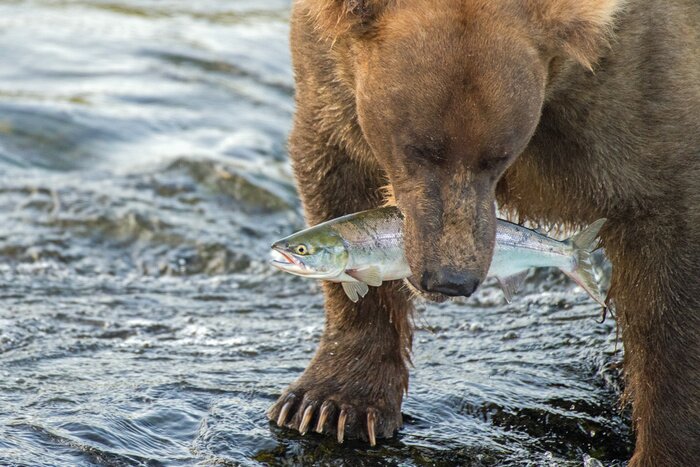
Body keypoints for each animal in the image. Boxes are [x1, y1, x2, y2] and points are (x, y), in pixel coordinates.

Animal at [268, 1, 700, 465]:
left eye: (499, 155)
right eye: (419, 149)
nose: (450, 278)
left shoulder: (630, 99)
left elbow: (668, 271)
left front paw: (664, 450)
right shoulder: (330, 72)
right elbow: (336, 168)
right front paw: (330, 405)